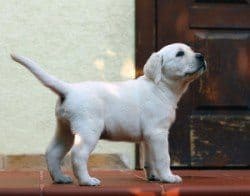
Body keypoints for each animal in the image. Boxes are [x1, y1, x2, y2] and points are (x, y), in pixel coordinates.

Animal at [10, 42, 206, 185]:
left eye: (191, 50)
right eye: (180, 54)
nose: (201, 56)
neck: (160, 86)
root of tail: (70, 89)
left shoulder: (148, 136)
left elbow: (150, 159)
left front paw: (154, 177)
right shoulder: (158, 132)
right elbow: (164, 157)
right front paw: (168, 177)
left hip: (64, 129)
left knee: (53, 152)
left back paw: (60, 178)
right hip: (89, 130)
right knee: (78, 154)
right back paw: (87, 181)